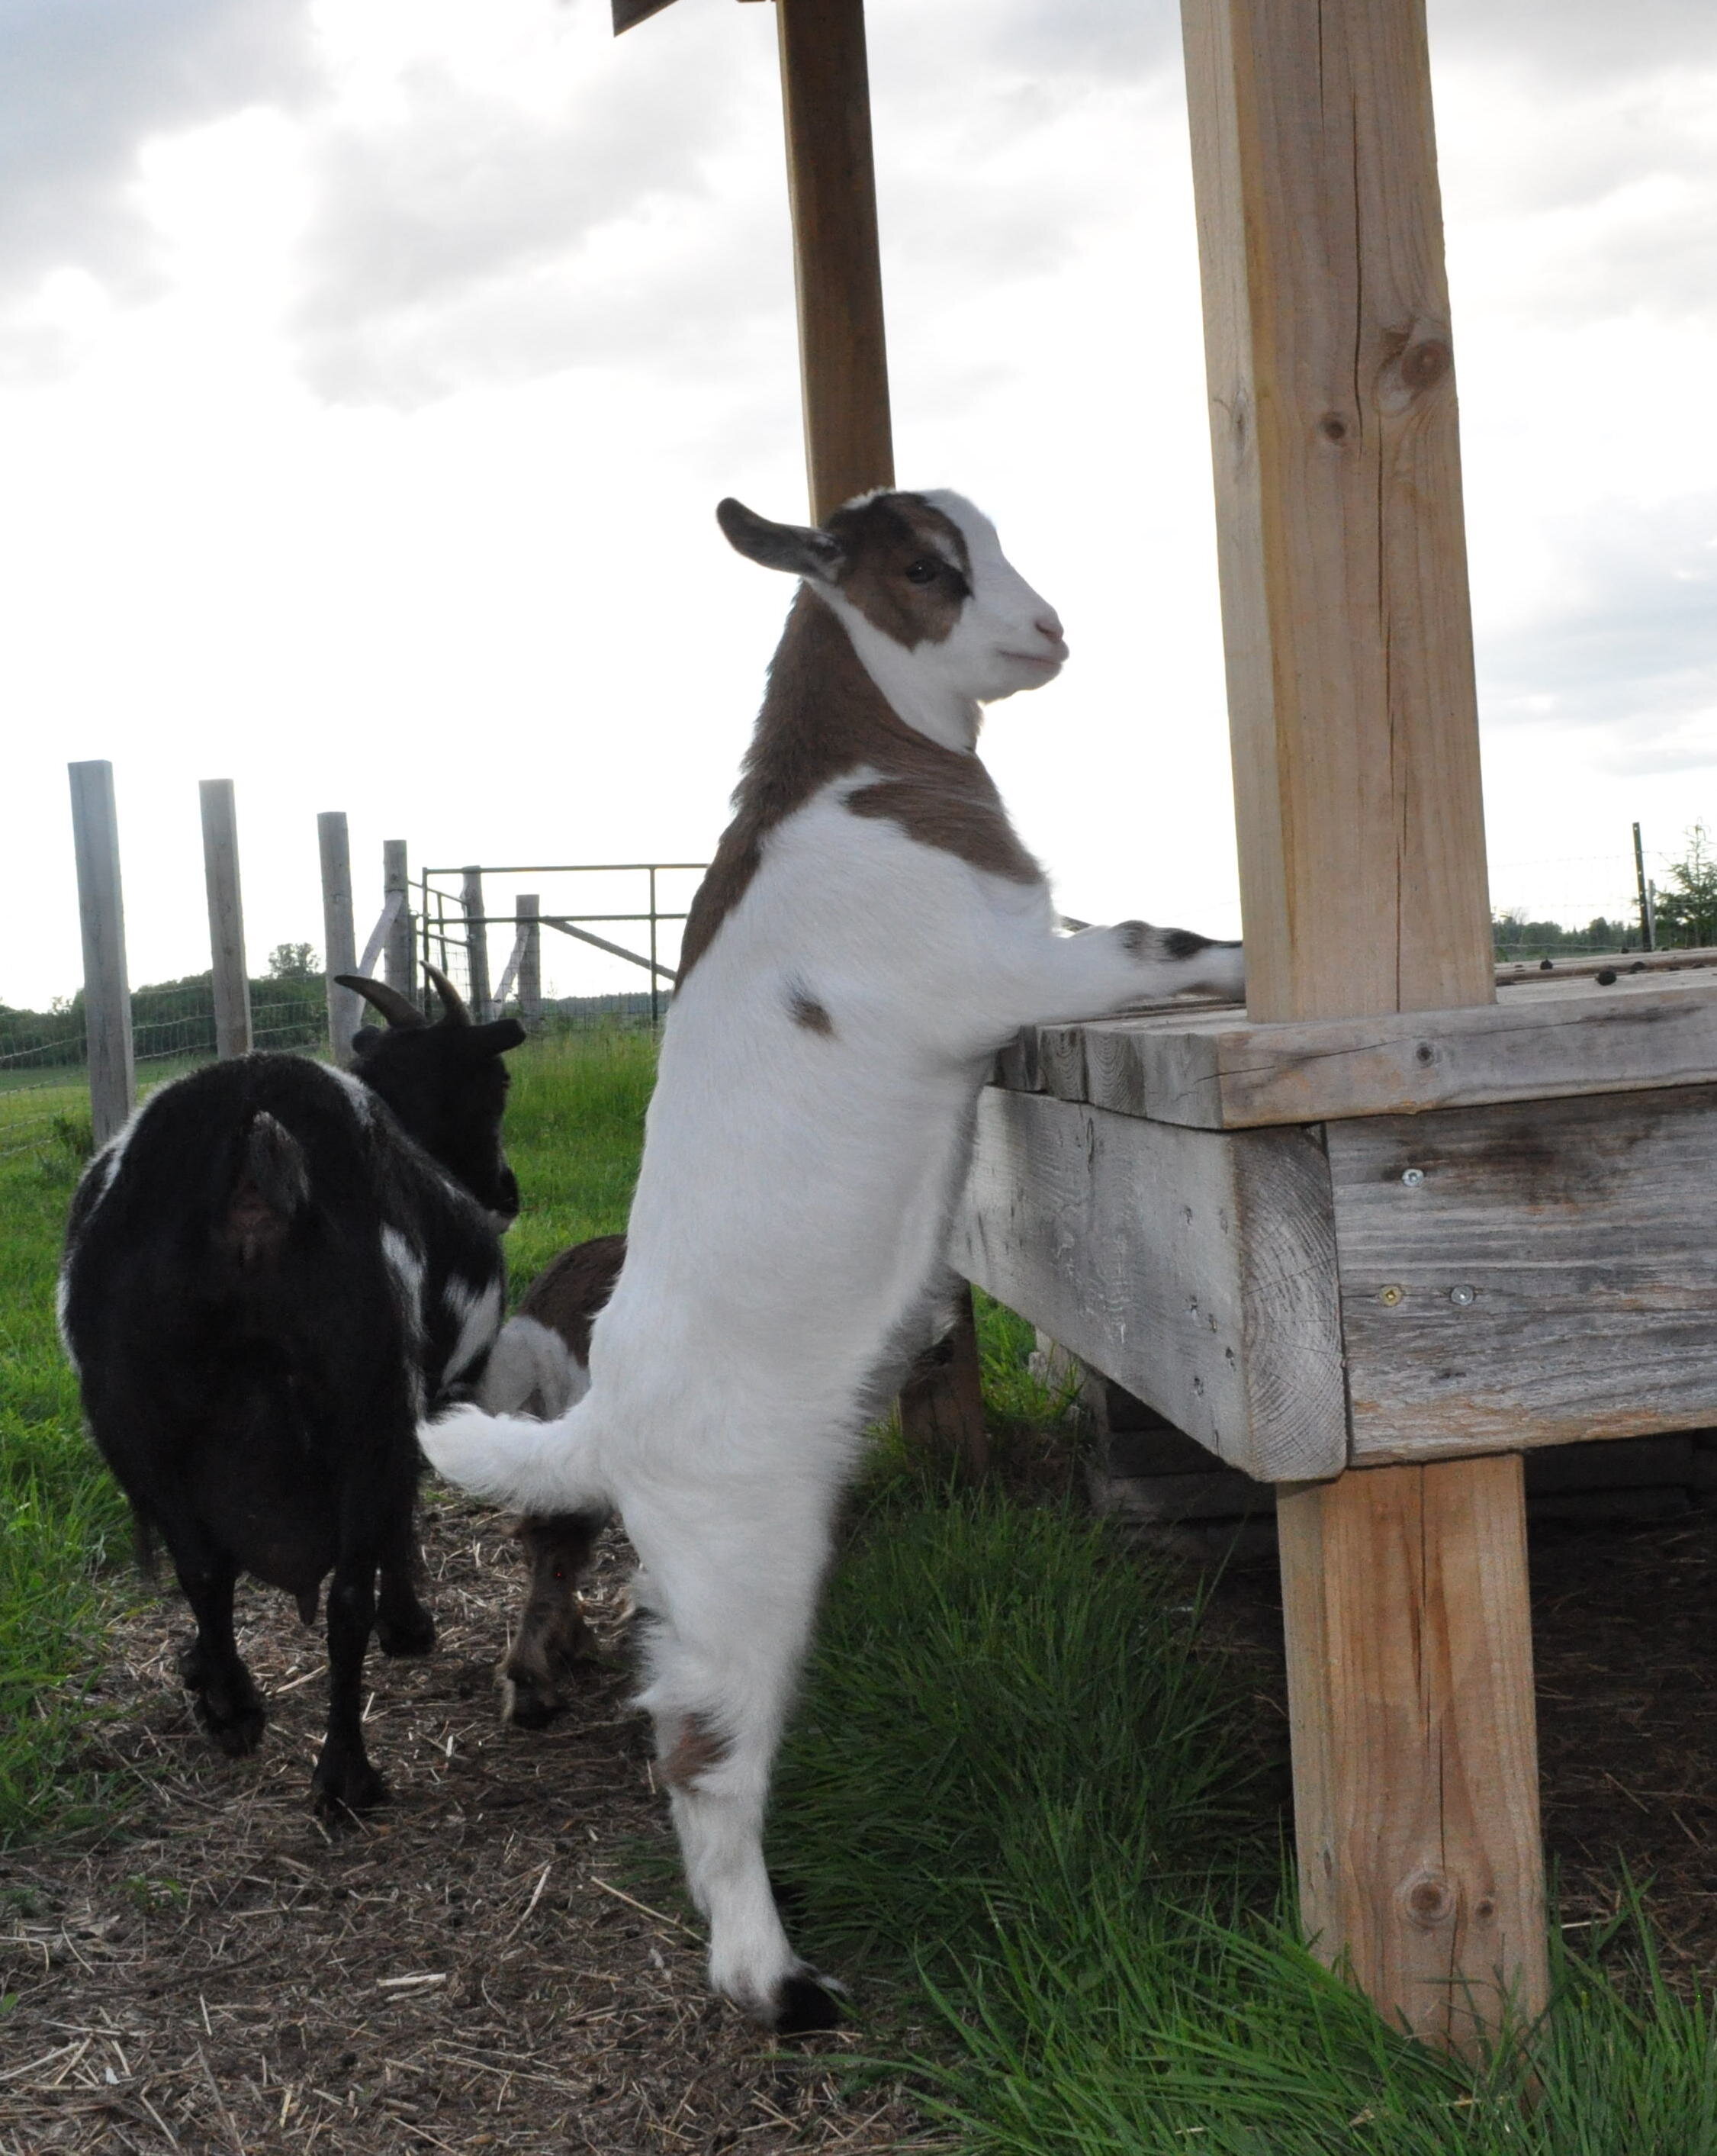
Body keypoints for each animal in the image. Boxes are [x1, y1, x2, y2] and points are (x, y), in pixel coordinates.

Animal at [60, 970, 523, 1810]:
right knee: (345, 1596)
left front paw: (197, 1671)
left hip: (133, 1420)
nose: (504, 1191)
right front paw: (410, 1626)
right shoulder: (413, 1409)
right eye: (494, 1080)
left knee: (202, 1567)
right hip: (365, 1397)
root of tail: (253, 1143)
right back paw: (346, 1776)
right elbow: (400, 1516)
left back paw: (233, 1707)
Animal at [422, 484, 1240, 2018]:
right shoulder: (1004, 971)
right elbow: (1151, 934)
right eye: (928, 567)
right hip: (740, 1551)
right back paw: (773, 1981)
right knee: (699, 1743)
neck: (847, 791)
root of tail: (602, 1417)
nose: (1049, 630)